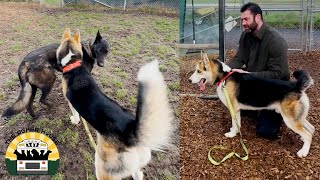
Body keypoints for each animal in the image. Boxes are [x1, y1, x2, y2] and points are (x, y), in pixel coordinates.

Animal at [56, 28, 174, 179]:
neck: (73, 64)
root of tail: (131, 132)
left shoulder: (71, 102)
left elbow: (76, 115)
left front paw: (74, 120)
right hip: (134, 164)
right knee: (138, 174)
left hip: (102, 167)